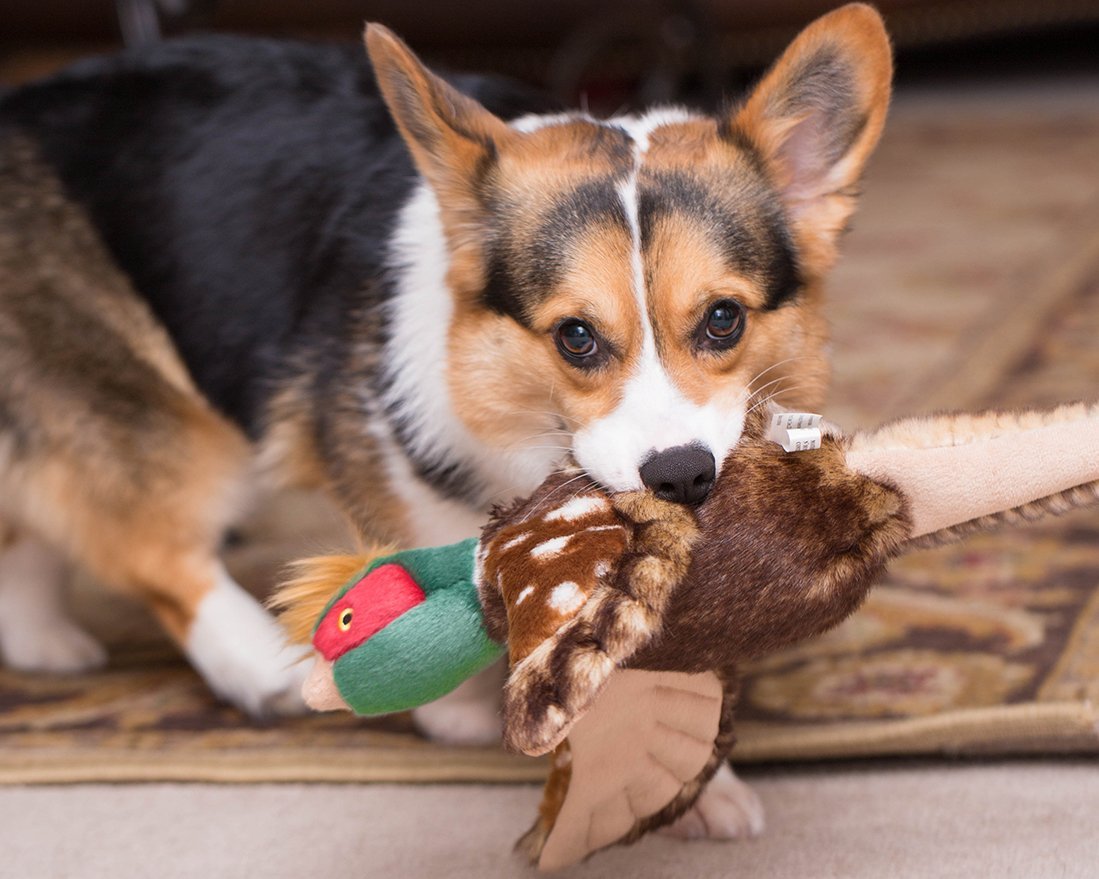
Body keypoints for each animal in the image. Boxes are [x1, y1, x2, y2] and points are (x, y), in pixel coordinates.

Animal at [0, 1, 892, 839]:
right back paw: (263, 668)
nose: (680, 476)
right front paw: (455, 702)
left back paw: (42, 640)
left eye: (722, 319)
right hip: (156, 417)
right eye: (575, 336)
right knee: (154, 545)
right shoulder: (389, 459)